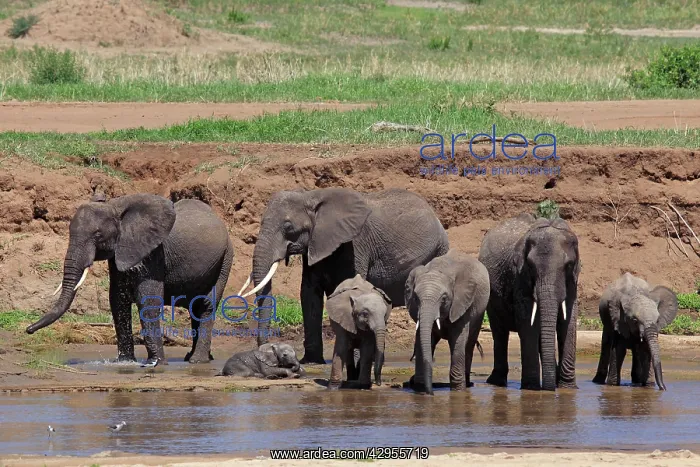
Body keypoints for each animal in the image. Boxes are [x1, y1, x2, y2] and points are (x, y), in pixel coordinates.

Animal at [25, 193, 234, 365]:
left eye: (97, 234)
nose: (28, 330)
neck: (115, 207)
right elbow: (117, 300)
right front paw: (125, 362)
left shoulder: (153, 253)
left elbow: (147, 300)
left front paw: (156, 363)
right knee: (195, 309)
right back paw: (196, 358)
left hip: (225, 258)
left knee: (207, 306)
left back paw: (197, 361)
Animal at [236, 187, 449, 364]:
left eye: (288, 227)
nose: (267, 348)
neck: (312, 196)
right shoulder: (316, 245)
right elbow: (309, 294)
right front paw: (312, 362)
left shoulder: (356, 244)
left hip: (438, 251)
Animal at [404, 249, 490, 395]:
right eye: (415, 298)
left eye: (444, 299)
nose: (431, 393)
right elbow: (424, 338)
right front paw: (420, 389)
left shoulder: (462, 303)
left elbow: (458, 339)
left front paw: (458, 391)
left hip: (479, 311)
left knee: (470, 343)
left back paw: (467, 384)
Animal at [478, 213, 581, 391]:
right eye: (531, 266)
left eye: (568, 265)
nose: (550, 389)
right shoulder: (520, 277)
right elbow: (528, 322)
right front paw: (531, 388)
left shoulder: (573, 279)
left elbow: (568, 321)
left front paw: (568, 388)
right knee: (499, 331)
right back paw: (496, 382)